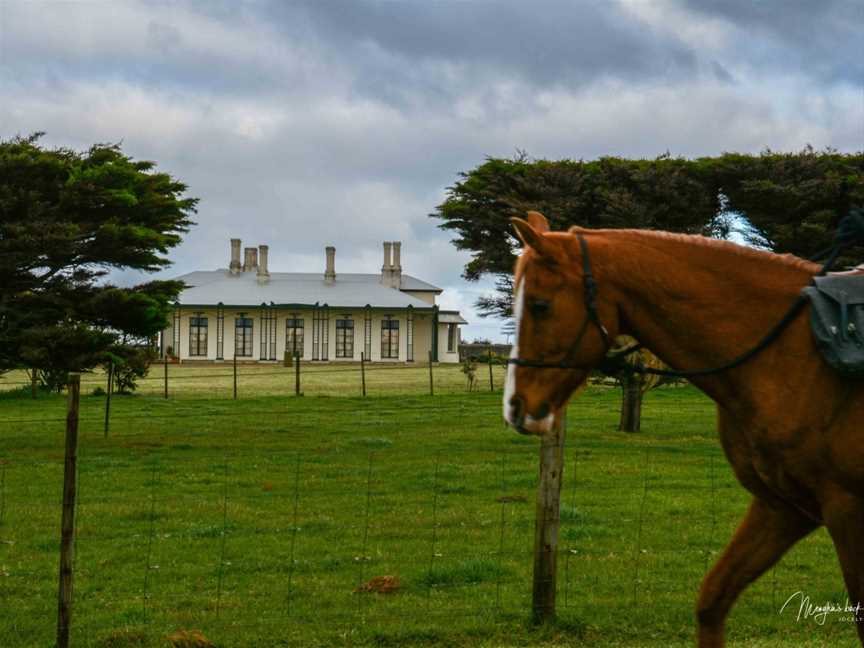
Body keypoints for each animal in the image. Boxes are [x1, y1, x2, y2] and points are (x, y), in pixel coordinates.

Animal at [502, 213, 860, 648]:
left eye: (539, 305)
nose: (515, 407)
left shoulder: (847, 511)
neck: (792, 355)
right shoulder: (783, 507)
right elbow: (711, 601)